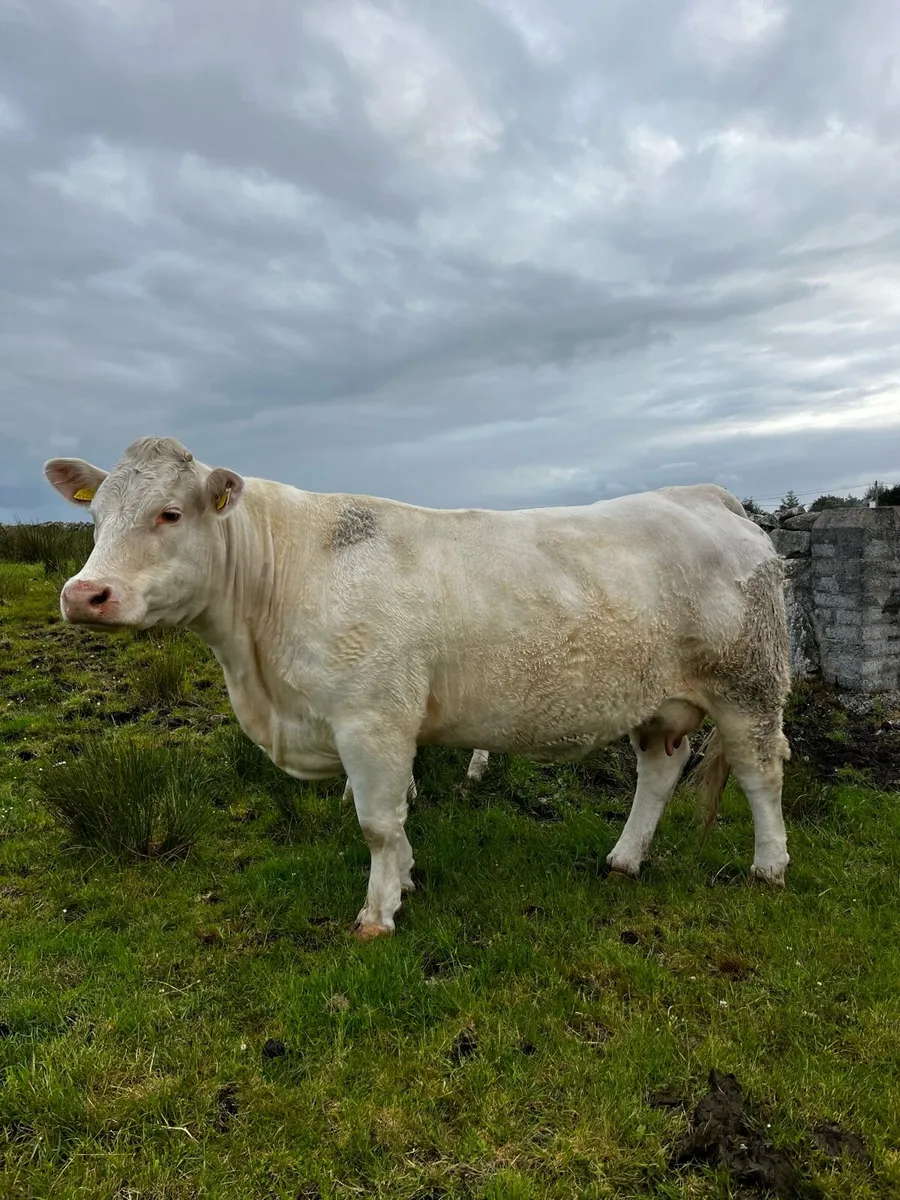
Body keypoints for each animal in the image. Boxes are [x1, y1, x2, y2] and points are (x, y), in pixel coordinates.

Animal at [45, 436, 792, 938]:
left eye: (170, 513)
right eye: (95, 517)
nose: (85, 595)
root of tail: (705, 497)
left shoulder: (371, 719)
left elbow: (376, 822)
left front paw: (377, 913)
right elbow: (397, 819)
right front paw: (404, 880)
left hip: (747, 687)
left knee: (760, 775)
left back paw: (769, 868)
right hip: (661, 700)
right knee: (659, 772)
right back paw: (624, 859)